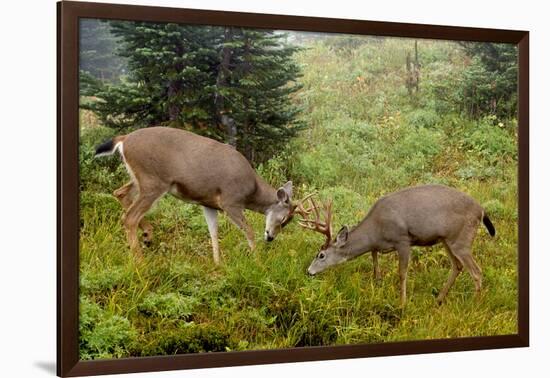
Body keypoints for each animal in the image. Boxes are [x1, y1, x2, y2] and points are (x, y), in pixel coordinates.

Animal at [95, 125, 302, 264]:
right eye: (284, 219)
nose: (270, 237)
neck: (251, 190)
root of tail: (124, 139)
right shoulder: (230, 201)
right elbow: (249, 230)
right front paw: (257, 261)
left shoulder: (208, 204)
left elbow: (213, 233)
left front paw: (218, 264)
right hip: (153, 181)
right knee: (129, 217)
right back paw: (140, 260)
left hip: (141, 179)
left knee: (120, 193)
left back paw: (147, 236)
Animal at [300, 185, 498, 308]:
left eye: (321, 255)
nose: (309, 271)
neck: (376, 230)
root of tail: (481, 210)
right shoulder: (379, 246)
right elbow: (374, 261)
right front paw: (378, 283)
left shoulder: (403, 240)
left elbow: (402, 273)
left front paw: (402, 303)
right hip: (447, 240)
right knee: (457, 266)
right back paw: (439, 300)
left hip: (462, 239)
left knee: (476, 271)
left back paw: (475, 305)